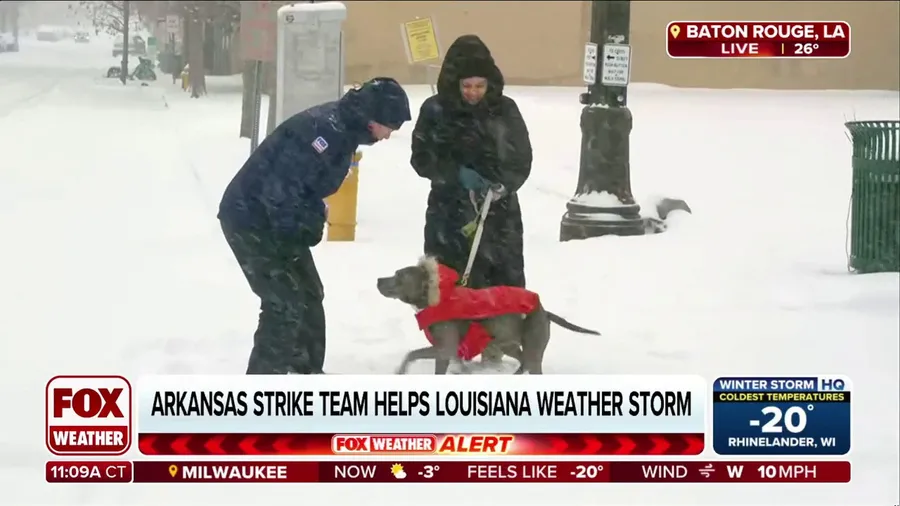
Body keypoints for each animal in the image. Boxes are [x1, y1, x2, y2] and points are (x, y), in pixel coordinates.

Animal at [376, 256, 600, 376]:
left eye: (398, 276)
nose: (378, 279)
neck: (436, 298)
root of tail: (544, 311)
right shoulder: (444, 353)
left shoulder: (445, 348)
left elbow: (411, 354)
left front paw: (400, 371)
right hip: (508, 343)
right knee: (523, 361)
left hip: (533, 347)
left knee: (532, 365)